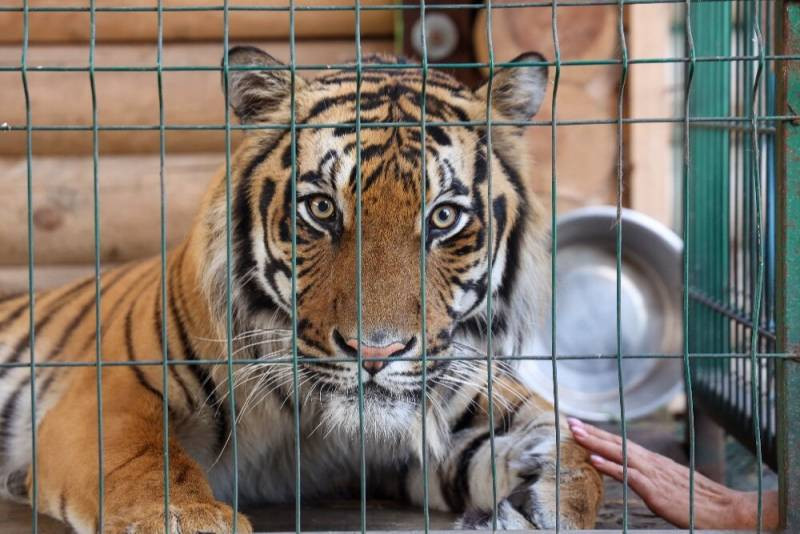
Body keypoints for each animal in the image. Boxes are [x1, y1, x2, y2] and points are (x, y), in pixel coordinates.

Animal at [0, 47, 600, 534]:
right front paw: (189, 518)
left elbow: (570, 445)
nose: (375, 352)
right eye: (322, 209)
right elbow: (147, 460)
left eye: (443, 217)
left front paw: (545, 496)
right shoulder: (113, 392)